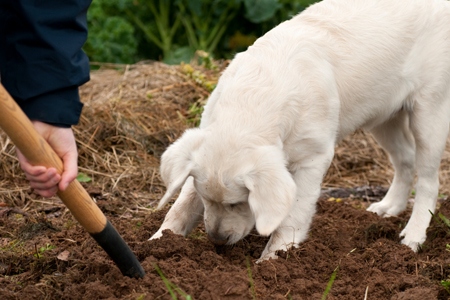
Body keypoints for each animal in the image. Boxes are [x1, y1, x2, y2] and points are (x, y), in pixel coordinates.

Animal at [150, 0, 450, 260]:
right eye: (206, 199)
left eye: (239, 202)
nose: (217, 240)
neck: (253, 101)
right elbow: (180, 206)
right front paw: (157, 244)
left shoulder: (313, 158)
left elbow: (293, 214)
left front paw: (273, 260)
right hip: (383, 116)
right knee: (405, 159)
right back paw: (388, 208)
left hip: (430, 110)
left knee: (428, 180)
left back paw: (412, 237)